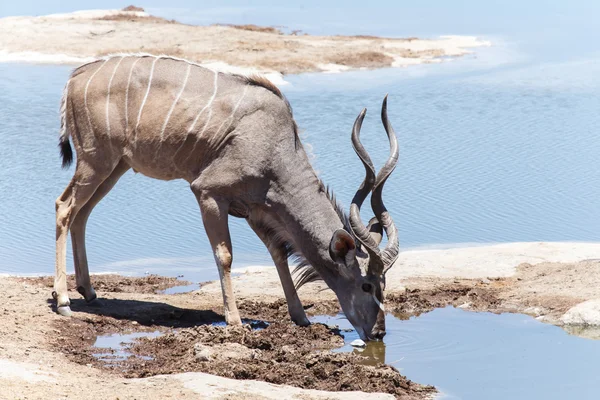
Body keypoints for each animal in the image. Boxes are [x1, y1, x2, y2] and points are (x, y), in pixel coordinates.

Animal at [52, 53, 398, 340]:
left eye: (384, 285)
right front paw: (235, 319)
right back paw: (64, 301)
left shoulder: (258, 210)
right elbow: (225, 255)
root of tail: (75, 77)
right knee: (64, 206)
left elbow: (278, 254)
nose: (378, 332)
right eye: (366, 285)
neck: (276, 145)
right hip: (97, 161)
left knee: (82, 213)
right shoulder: (208, 192)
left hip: (115, 167)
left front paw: (300, 317)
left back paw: (88, 290)